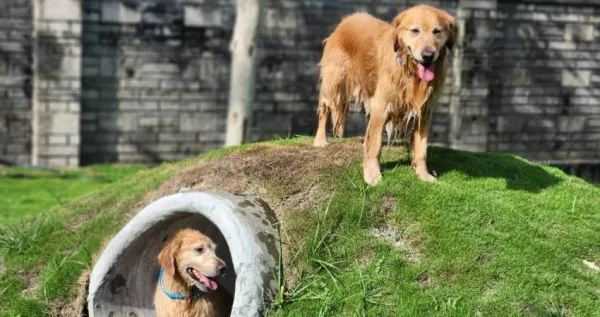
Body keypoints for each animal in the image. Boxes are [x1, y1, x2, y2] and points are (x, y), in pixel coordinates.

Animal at [314, 4, 454, 184]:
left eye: (437, 31)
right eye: (415, 31)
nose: (428, 55)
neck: (409, 71)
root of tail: (346, 20)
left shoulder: (424, 111)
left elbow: (421, 148)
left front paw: (423, 174)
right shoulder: (381, 106)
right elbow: (375, 145)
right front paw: (372, 174)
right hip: (334, 83)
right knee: (324, 109)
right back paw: (320, 139)